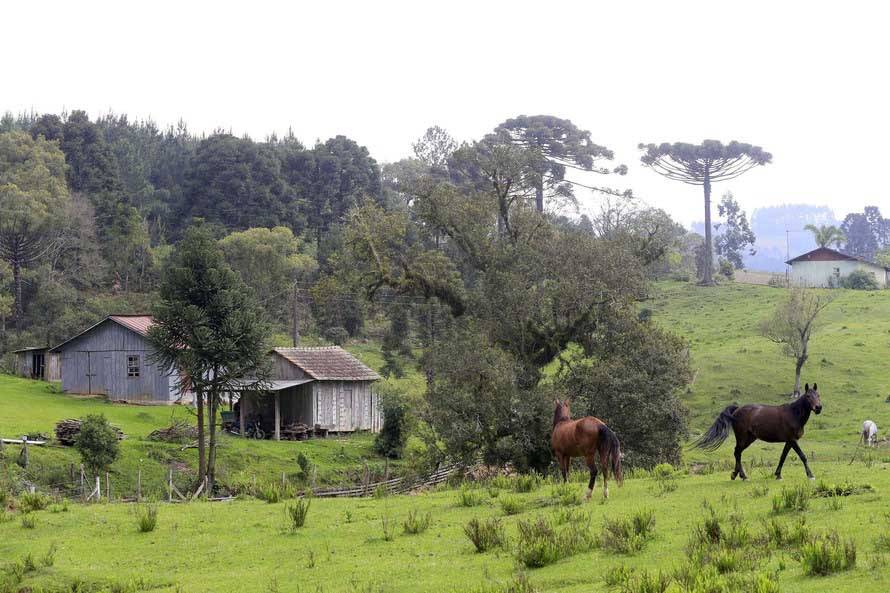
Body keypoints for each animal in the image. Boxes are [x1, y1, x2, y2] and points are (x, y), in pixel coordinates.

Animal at [692, 382, 824, 478]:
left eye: (818, 395)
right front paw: (810, 475)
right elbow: (803, 456)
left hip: (749, 438)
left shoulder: (789, 441)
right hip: (742, 437)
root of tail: (737, 409)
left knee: (737, 452)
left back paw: (736, 474)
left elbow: (782, 457)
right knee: (737, 452)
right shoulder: (792, 440)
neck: (793, 414)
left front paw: (778, 475)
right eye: (808, 396)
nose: (818, 408)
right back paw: (743, 476)